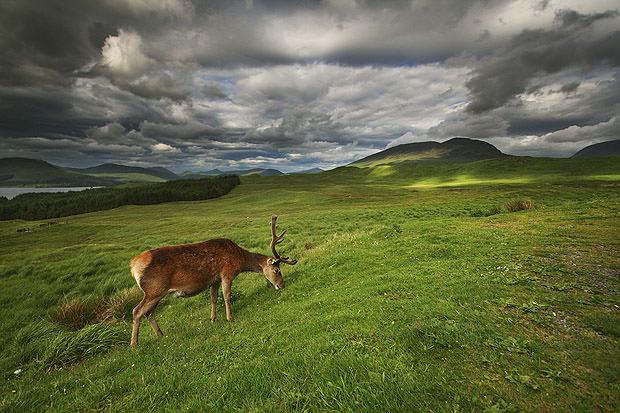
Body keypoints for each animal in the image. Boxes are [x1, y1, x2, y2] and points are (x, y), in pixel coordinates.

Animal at [129, 214, 298, 346]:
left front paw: (213, 319)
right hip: (154, 289)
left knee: (149, 313)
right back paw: (134, 344)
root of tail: (133, 266)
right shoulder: (227, 273)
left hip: (157, 293)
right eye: (277, 270)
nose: (282, 285)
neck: (240, 260)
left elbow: (214, 299)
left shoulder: (214, 280)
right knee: (137, 311)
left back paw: (161, 335)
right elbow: (227, 296)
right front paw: (229, 318)